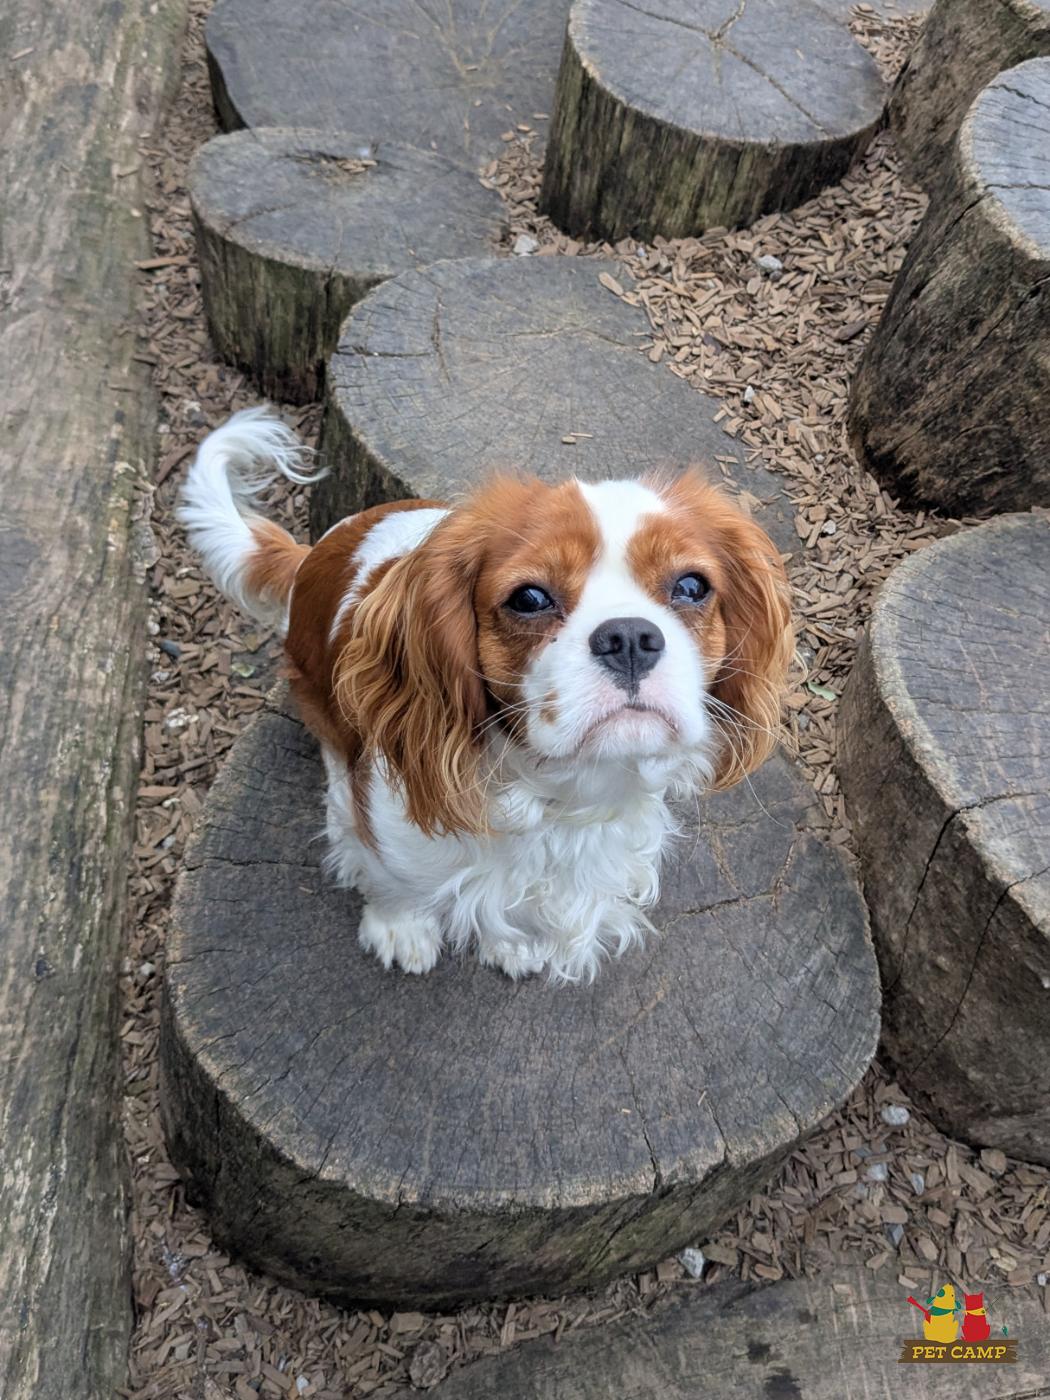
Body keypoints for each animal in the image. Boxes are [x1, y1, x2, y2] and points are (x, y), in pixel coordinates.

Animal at [179, 408, 792, 981]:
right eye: (529, 598)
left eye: (692, 586)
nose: (629, 638)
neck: (563, 797)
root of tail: (314, 553)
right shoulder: (390, 824)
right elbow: (392, 881)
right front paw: (399, 928)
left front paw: (516, 944)